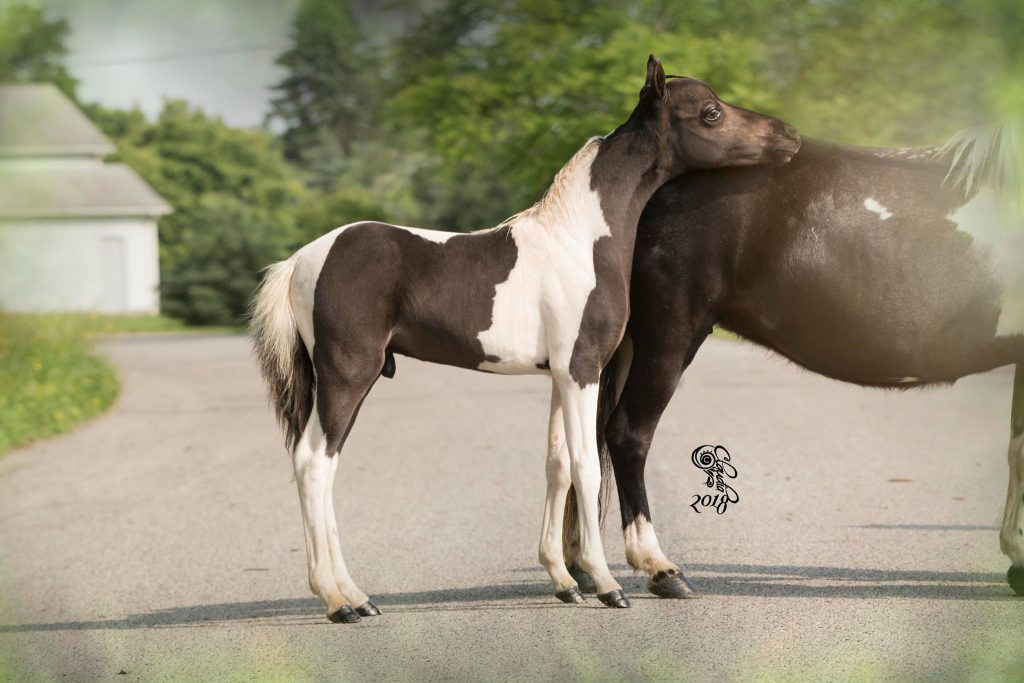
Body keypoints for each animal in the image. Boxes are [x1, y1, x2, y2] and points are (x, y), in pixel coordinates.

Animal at [249, 56, 802, 623]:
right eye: (711, 112)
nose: (790, 136)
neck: (579, 239)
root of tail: (300, 261)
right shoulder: (581, 370)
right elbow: (586, 466)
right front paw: (607, 585)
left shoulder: (558, 375)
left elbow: (557, 466)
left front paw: (565, 582)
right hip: (348, 375)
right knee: (315, 465)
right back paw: (342, 601)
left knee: (320, 465)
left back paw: (354, 598)